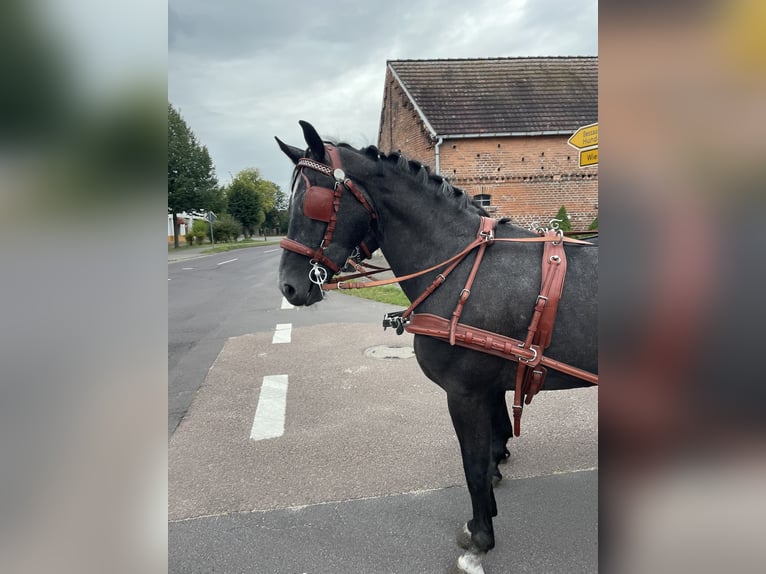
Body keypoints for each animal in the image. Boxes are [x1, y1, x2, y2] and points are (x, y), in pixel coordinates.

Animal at [276, 121, 600, 574]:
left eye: (314, 202)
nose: (289, 287)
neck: (458, 265)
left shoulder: (465, 393)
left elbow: (474, 466)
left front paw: (480, 540)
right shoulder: (485, 388)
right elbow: (489, 448)